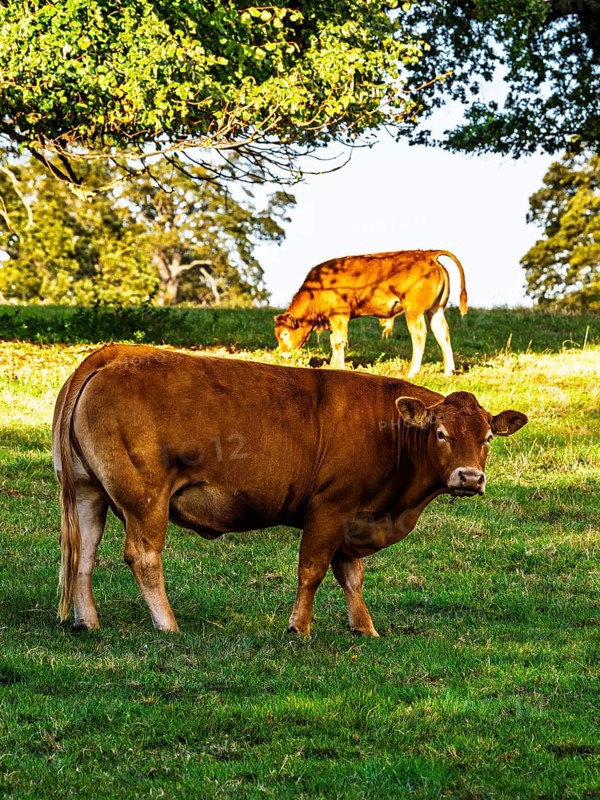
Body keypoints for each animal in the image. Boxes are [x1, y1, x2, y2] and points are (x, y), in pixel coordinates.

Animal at [53, 344, 527, 638]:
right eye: (442, 433)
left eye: (487, 437)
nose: (470, 478)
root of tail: (113, 355)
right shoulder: (331, 509)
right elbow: (313, 570)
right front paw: (300, 627)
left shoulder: (353, 519)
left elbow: (351, 575)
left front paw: (365, 626)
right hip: (145, 498)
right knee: (143, 556)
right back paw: (167, 624)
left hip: (88, 492)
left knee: (83, 555)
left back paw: (87, 621)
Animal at [274, 249, 468, 376]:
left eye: (285, 333)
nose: (282, 353)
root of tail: (429, 255)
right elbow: (333, 341)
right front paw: (333, 364)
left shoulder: (340, 316)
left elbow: (338, 341)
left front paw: (338, 366)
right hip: (436, 310)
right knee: (442, 333)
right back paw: (449, 372)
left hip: (413, 311)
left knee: (419, 335)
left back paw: (412, 372)